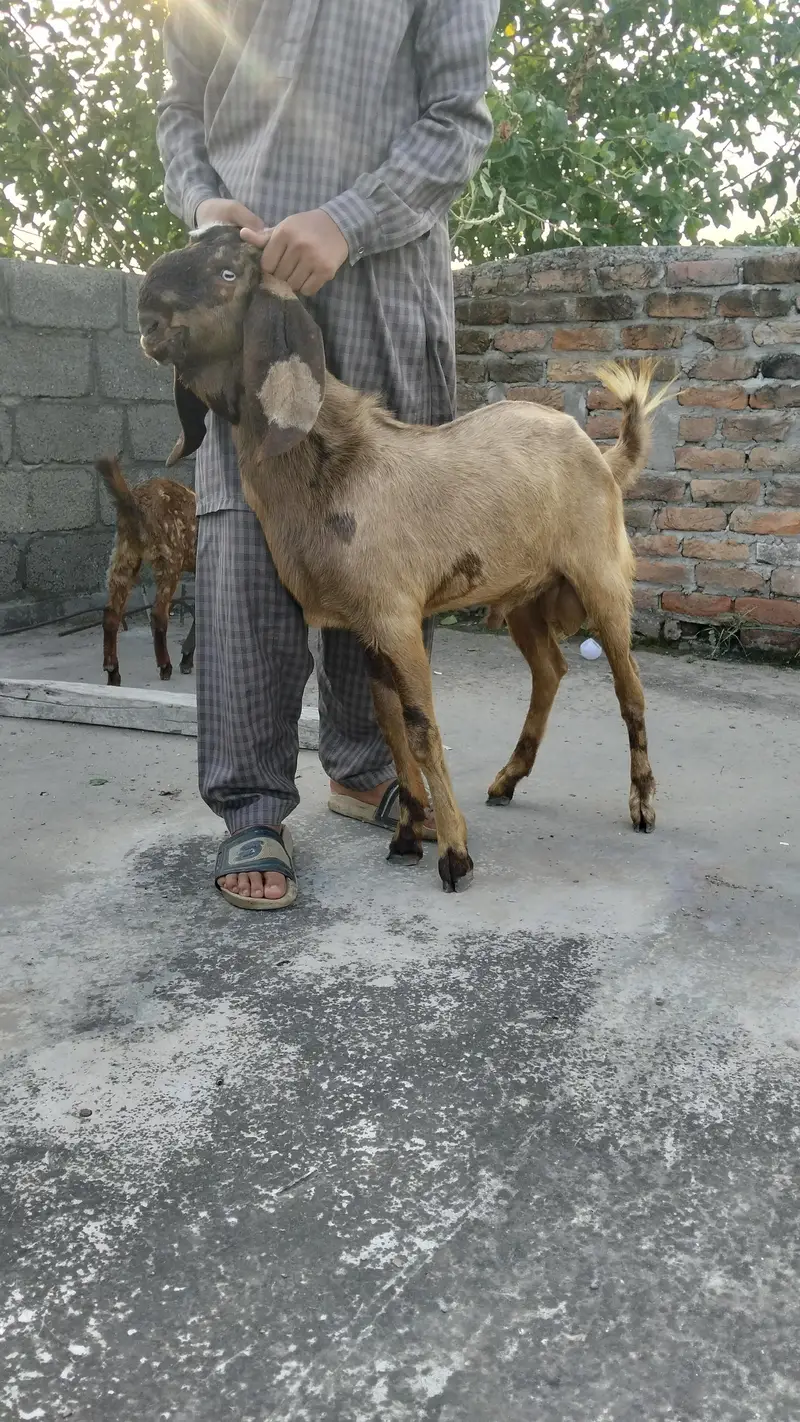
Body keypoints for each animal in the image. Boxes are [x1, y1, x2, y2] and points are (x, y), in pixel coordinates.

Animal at [96, 456, 197, 686]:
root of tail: (132, 502)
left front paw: (187, 658)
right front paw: (186, 659)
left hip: (124, 553)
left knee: (111, 612)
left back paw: (113, 672)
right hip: (169, 559)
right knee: (158, 613)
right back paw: (165, 666)